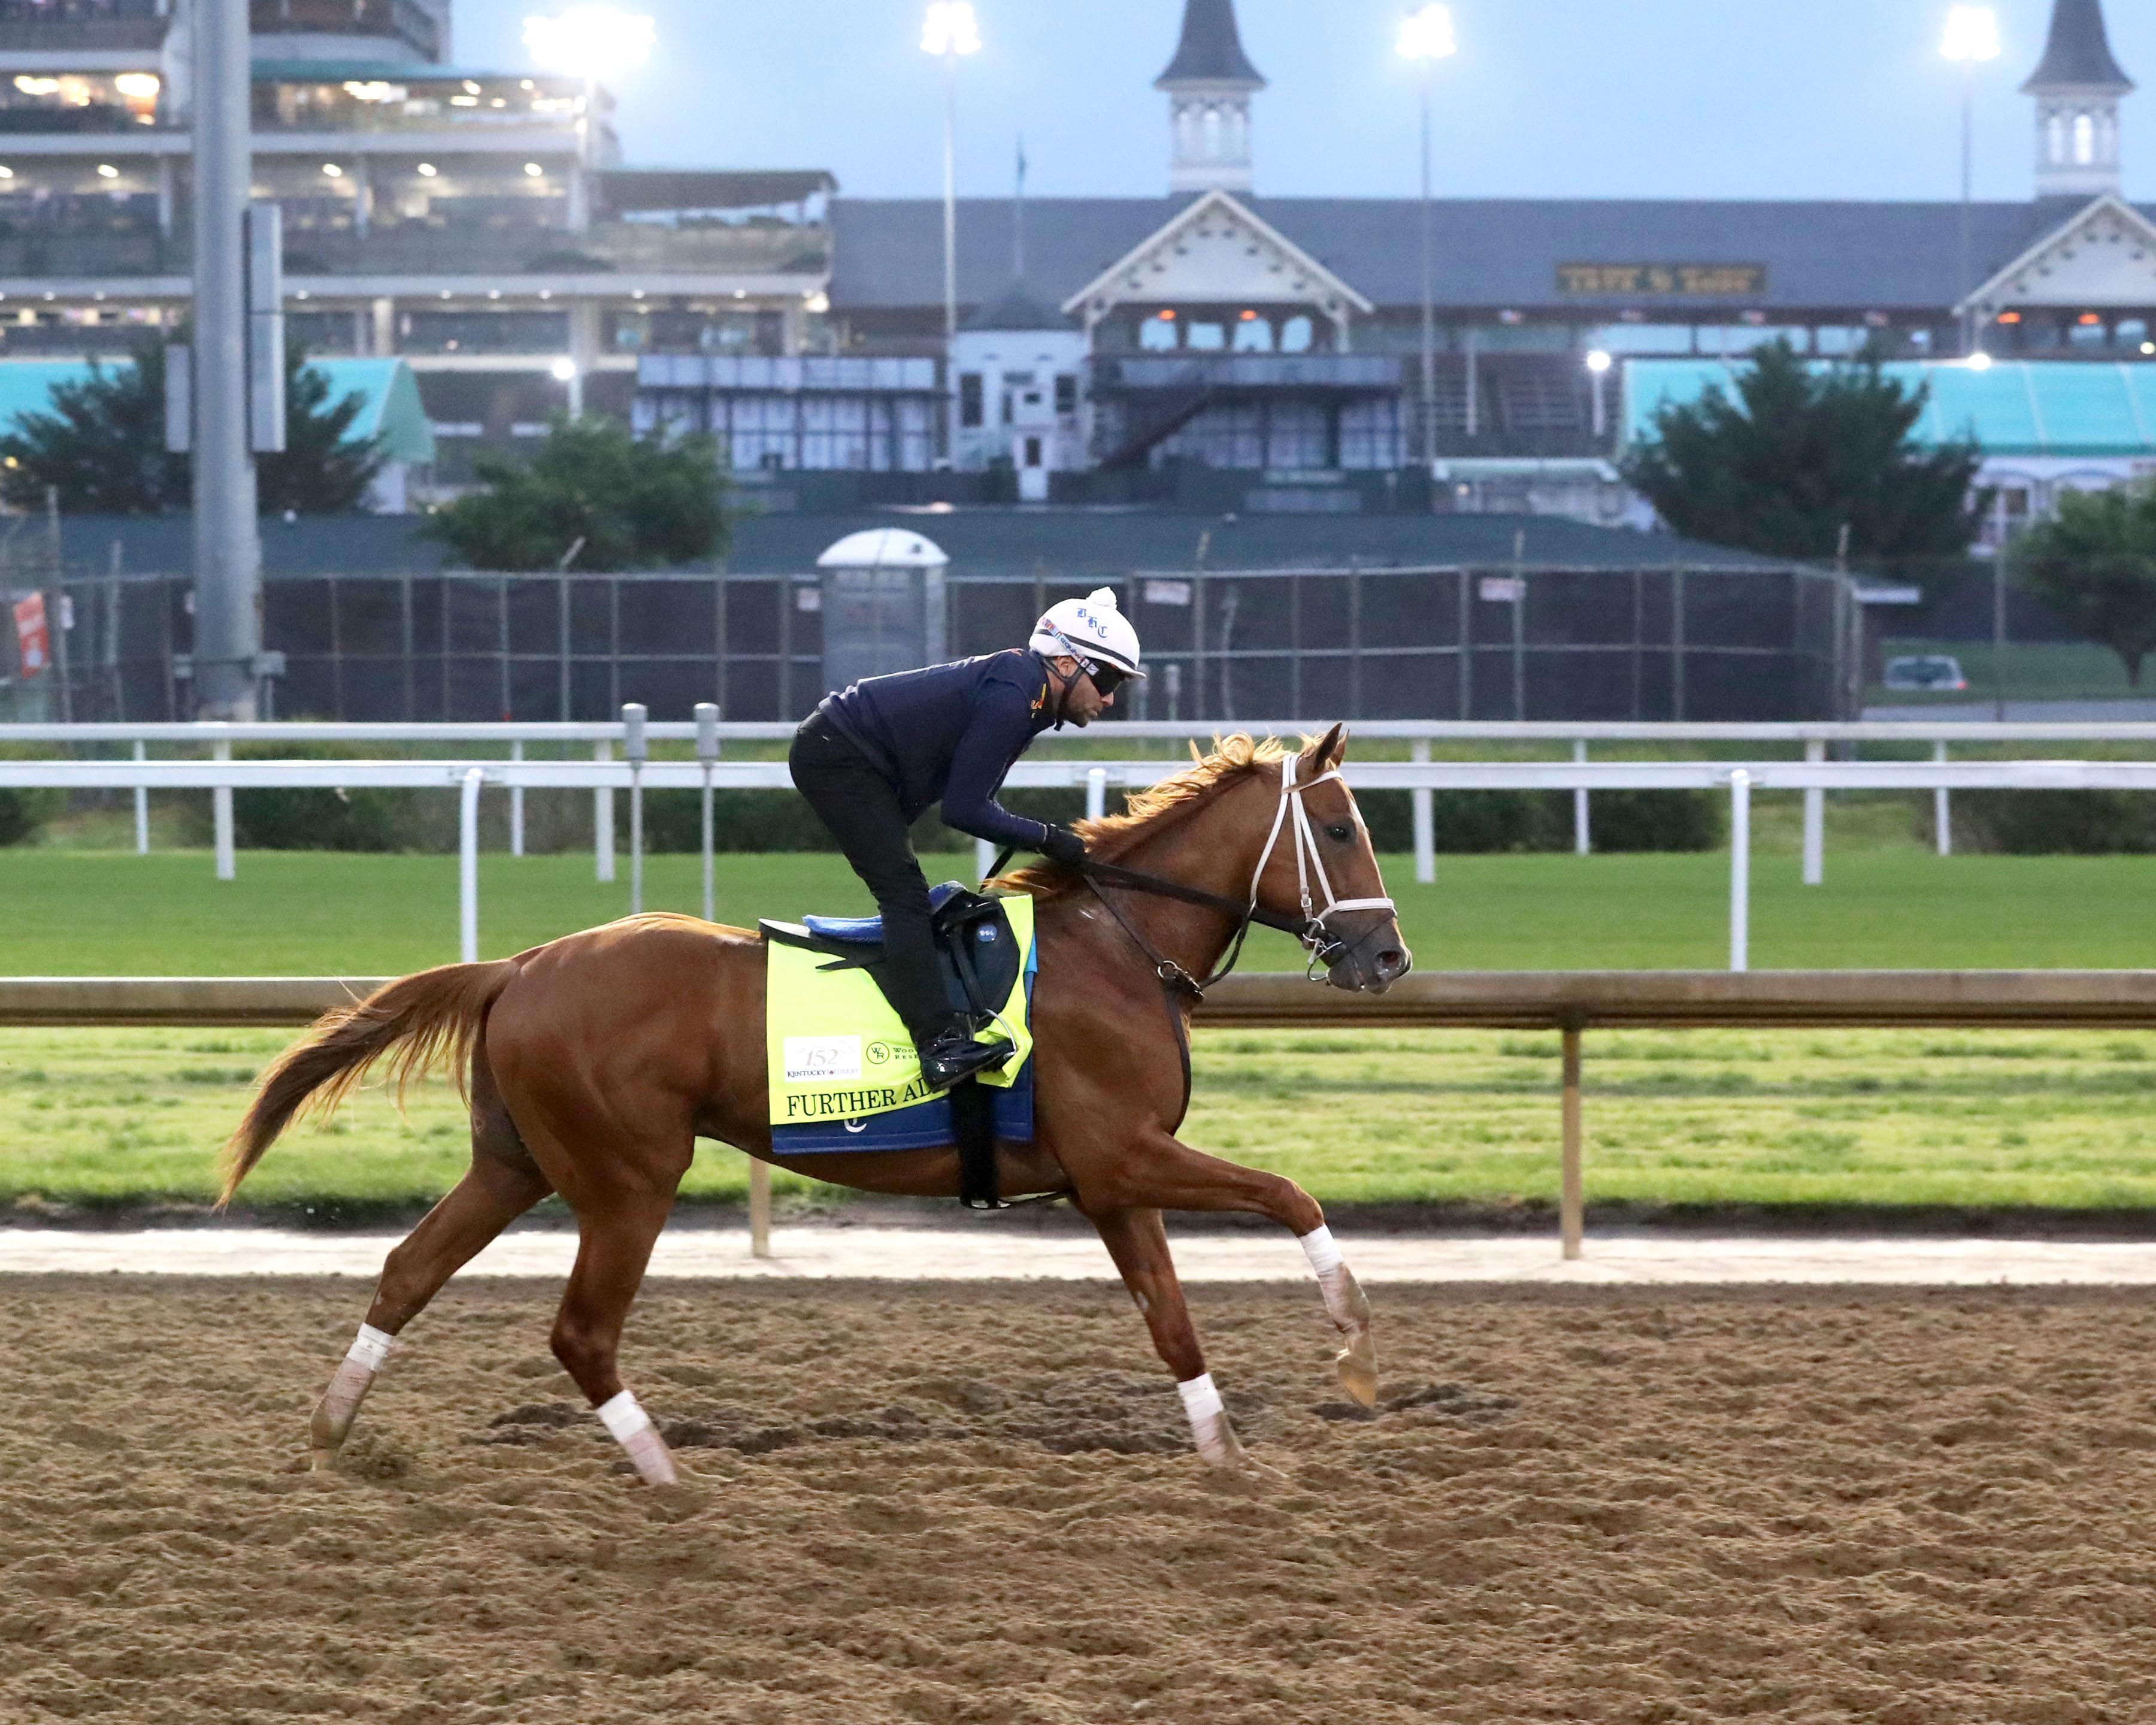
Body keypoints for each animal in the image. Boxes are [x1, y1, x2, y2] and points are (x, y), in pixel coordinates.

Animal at [221, 724, 1412, 1487]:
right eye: (1341, 831)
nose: (1389, 956)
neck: (1117, 947)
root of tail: (516, 966)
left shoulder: (1112, 1183)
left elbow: (1172, 1322)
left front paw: (1229, 1460)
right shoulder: (1124, 1156)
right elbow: (1292, 1196)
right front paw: (1355, 1349)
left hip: (514, 1163)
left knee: (407, 1273)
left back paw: (329, 1439)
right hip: (626, 1178)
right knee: (582, 1334)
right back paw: (672, 1480)